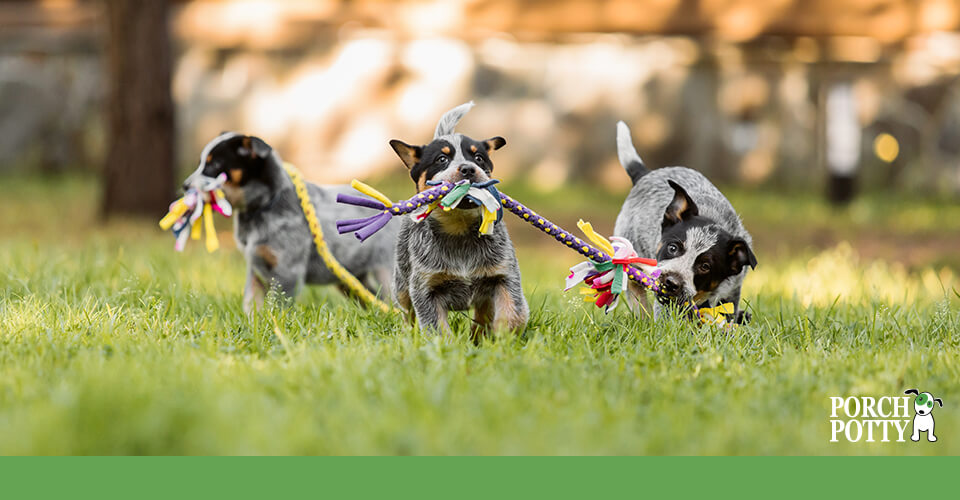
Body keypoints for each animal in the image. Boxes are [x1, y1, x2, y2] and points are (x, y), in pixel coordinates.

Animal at [184, 133, 398, 312]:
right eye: (201, 162)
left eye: (214, 164)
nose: (185, 186)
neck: (264, 205)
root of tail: (391, 207)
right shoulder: (255, 269)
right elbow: (251, 302)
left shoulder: (287, 271)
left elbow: (277, 306)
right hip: (349, 278)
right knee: (373, 297)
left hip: (386, 270)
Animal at [386, 101, 528, 340]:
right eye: (441, 159)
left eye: (478, 158)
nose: (468, 168)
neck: (458, 229)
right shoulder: (425, 286)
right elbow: (436, 327)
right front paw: (446, 345)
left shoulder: (504, 275)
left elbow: (513, 314)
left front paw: (502, 340)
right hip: (402, 284)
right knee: (407, 313)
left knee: (483, 312)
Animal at [616, 121, 756, 324]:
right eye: (673, 248)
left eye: (705, 266)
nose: (670, 282)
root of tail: (647, 174)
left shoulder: (732, 289)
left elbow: (726, 310)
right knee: (635, 292)